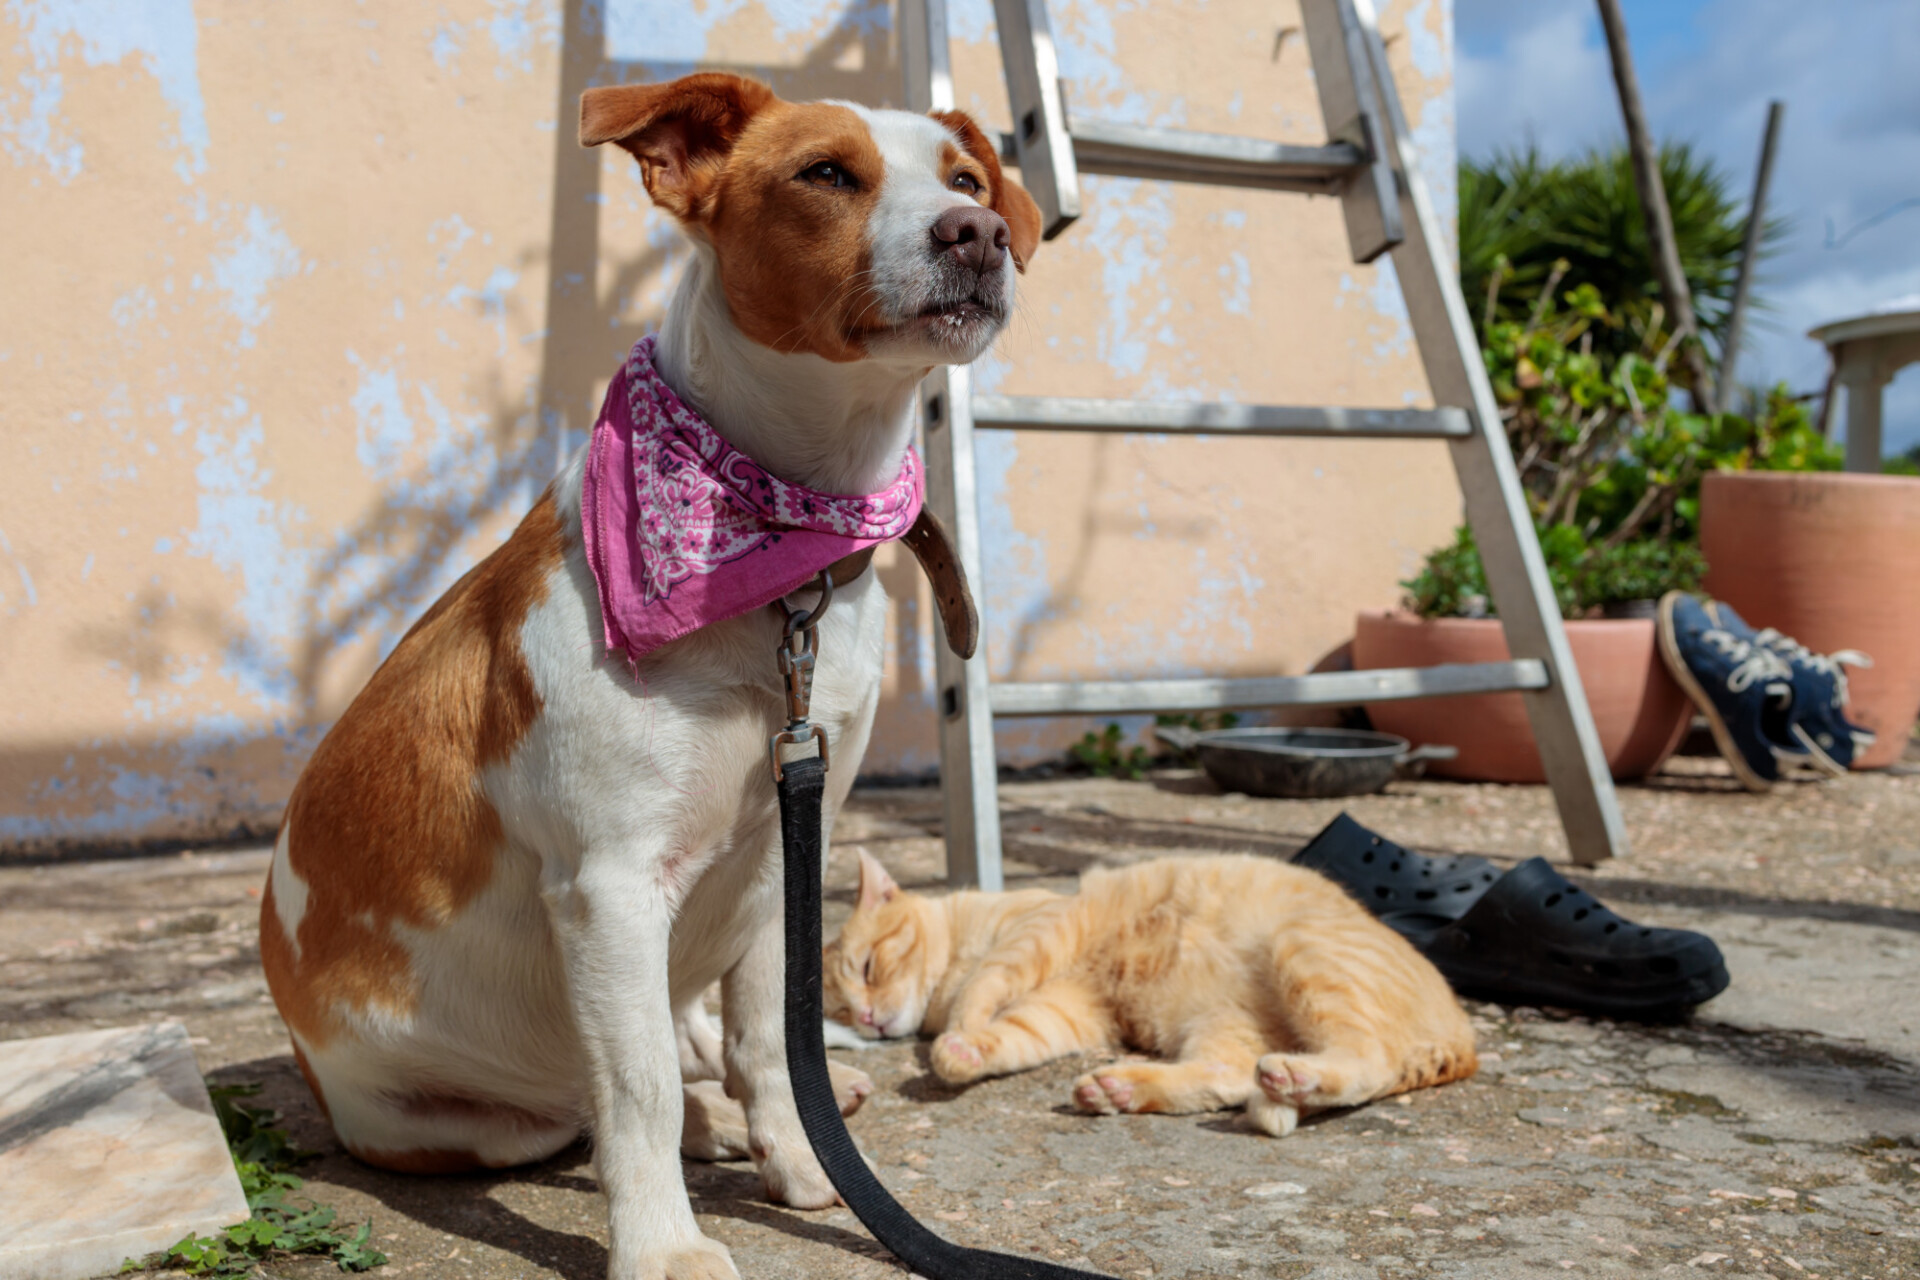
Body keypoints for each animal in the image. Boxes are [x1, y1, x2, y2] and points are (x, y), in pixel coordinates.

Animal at [259, 72, 1036, 1280]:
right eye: (826, 174)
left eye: (966, 179)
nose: (979, 234)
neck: (786, 559)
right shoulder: (612, 884)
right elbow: (638, 1093)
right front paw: (666, 1246)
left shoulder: (784, 853)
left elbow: (769, 1043)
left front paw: (803, 1167)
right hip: (454, 1115)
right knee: (584, 1099)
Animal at [821, 852, 1466, 1128]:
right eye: (842, 1013)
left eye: (869, 967)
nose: (869, 1019)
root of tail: (1465, 1036)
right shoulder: (1064, 1010)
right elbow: (1008, 1037)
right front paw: (963, 1053)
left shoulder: (1041, 930)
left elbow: (982, 988)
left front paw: (956, 1033)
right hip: (1227, 1026)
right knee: (1230, 1078)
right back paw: (1120, 1090)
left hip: (1301, 952)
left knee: (1368, 1061)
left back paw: (1294, 1076)